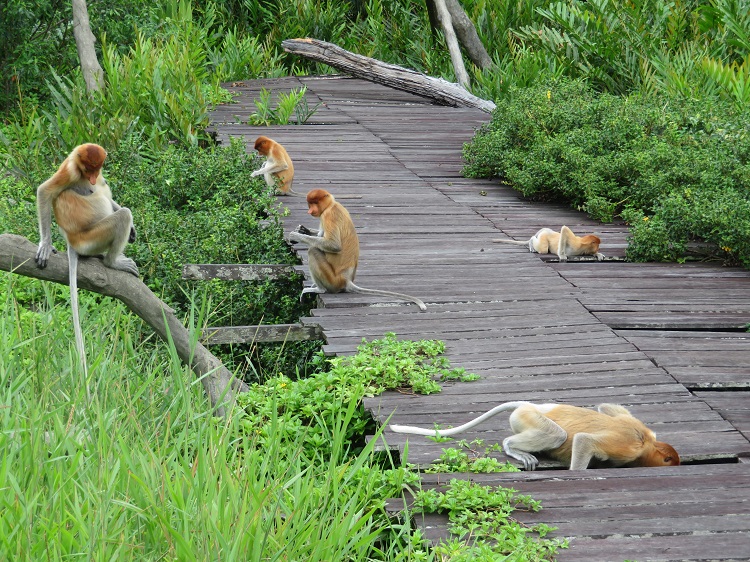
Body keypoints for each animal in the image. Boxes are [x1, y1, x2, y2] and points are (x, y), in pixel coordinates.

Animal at [36, 143, 138, 376]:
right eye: (88, 168)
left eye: (96, 167)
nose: (92, 179)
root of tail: (72, 241)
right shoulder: (70, 171)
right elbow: (45, 191)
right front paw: (45, 244)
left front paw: (133, 230)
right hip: (92, 238)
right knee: (123, 215)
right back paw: (113, 261)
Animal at [286, 188, 427, 311]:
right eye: (310, 203)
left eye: (315, 203)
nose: (310, 210)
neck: (331, 205)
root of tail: (347, 280)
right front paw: (303, 230)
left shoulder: (328, 215)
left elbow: (333, 245)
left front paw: (295, 235)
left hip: (333, 280)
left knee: (313, 250)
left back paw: (319, 289)